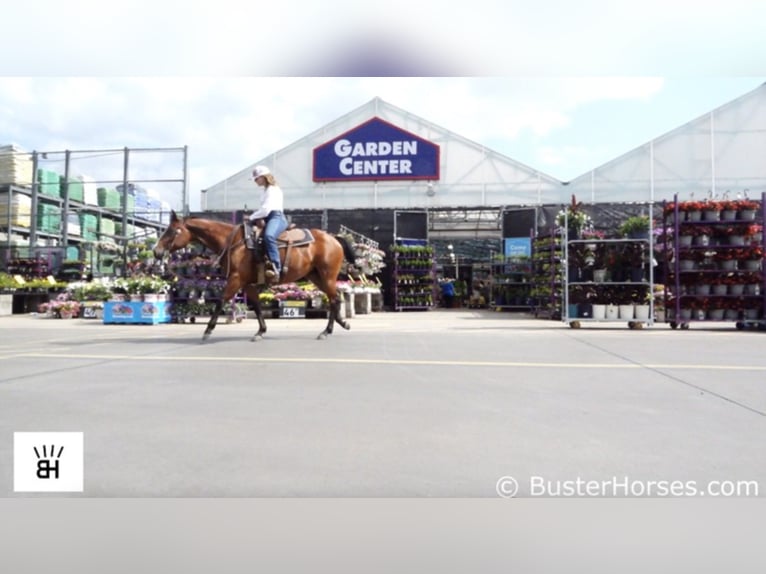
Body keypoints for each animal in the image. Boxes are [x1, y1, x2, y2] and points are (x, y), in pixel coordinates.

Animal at [156, 213, 360, 342]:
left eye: (171, 231)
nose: (156, 251)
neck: (235, 242)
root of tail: (333, 238)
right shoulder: (246, 283)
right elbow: (256, 304)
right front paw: (261, 331)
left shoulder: (236, 279)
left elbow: (221, 301)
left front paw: (207, 330)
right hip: (316, 276)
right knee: (334, 298)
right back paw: (340, 324)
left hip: (327, 276)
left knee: (334, 299)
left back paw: (327, 331)